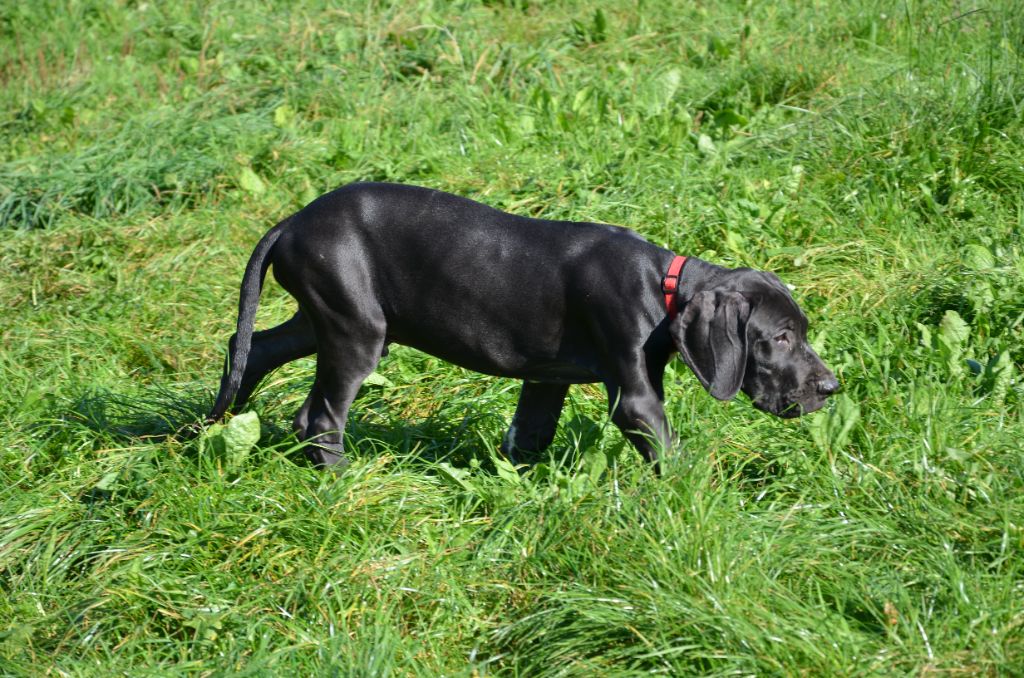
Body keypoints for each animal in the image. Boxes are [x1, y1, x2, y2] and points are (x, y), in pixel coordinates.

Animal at [207, 182, 838, 472]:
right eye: (780, 337)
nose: (831, 389)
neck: (664, 287)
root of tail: (291, 221)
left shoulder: (545, 380)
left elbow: (527, 437)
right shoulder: (634, 396)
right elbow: (668, 452)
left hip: (328, 319)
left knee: (252, 347)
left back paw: (216, 423)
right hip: (355, 331)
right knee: (317, 417)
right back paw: (343, 479)